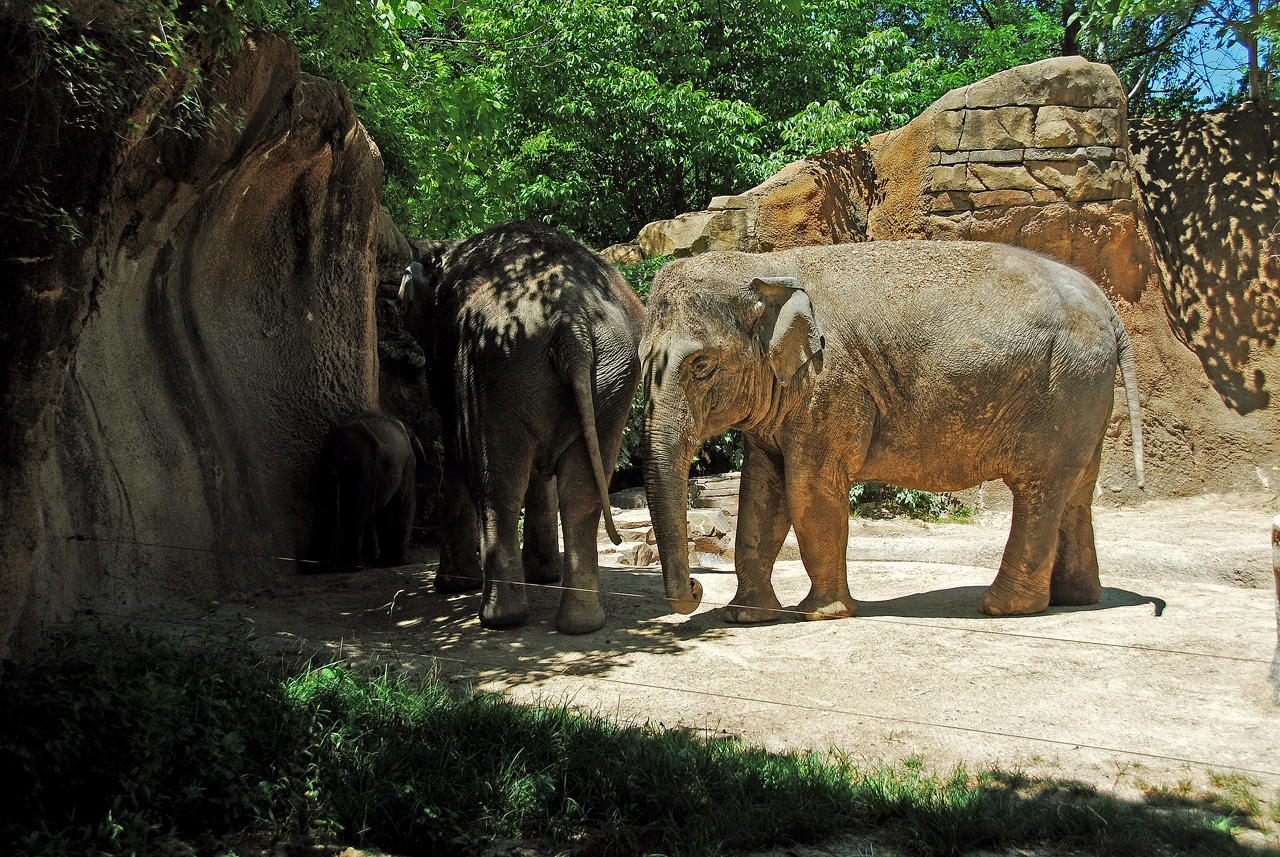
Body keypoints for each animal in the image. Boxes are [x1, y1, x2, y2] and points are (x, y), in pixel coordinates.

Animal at [303, 411, 424, 573]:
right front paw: (401, 562)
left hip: (325, 468)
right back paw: (354, 567)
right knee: (357, 513)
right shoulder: (408, 464)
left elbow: (383, 513)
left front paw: (385, 560)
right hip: (364, 468)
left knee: (324, 512)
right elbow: (403, 502)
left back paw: (316, 569)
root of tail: (337, 450)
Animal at [396, 221, 645, 636]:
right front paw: (543, 576)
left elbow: (456, 447)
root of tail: (573, 323)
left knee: (496, 484)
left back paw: (499, 619)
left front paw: (452, 586)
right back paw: (581, 624)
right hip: (611, 374)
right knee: (581, 493)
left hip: (497, 361)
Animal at [645, 241, 1146, 624]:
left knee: (1040, 489)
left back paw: (1003, 607)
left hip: (1066, 386)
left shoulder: (832, 385)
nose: (696, 589)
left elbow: (807, 489)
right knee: (1076, 492)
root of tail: (1107, 307)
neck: (766, 264)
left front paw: (819, 614)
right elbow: (760, 493)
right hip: (1085, 393)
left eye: (701, 365)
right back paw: (1075, 599)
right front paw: (746, 616)